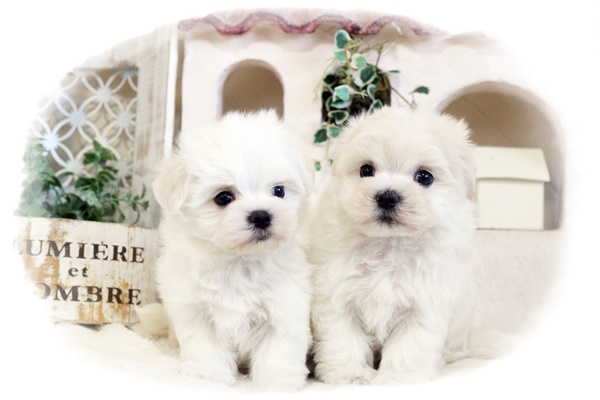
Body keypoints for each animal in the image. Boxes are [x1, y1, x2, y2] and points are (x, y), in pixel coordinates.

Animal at [151, 110, 313, 390]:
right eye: (223, 197)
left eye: (279, 191)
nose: (261, 215)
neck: (238, 261)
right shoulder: (195, 309)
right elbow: (205, 346)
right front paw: (207, 375)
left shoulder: (284, 305)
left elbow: (279, 348)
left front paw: (277, 381)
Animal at [310, 106, 478, 385]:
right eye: (366, 170)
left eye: (425, 177)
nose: (387, 197)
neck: (389, 244)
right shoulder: (337, 295)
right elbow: (344, 337)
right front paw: (351, 374)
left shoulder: (423, 302)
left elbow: (409, 345)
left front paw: (399, 378)